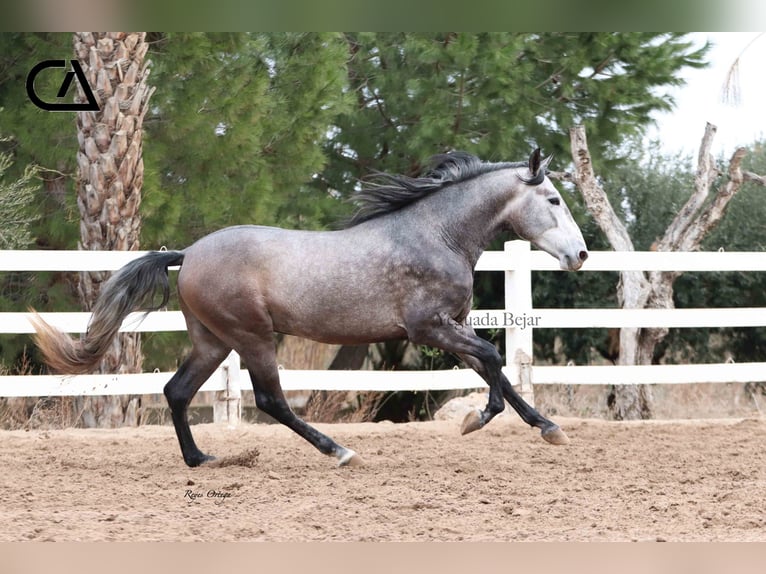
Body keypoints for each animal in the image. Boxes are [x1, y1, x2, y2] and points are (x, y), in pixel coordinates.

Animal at [30, 148, 588, 468]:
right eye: (555, 200)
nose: (580, 255)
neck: (435, 235)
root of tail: (187, 253)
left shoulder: (452, 326)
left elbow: (497, 370)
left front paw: (550, 429)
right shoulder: (427, 328)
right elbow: (493, 362)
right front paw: (477, 419)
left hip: (213, 341)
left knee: (177, 391)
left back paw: (201, 459)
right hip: (253, 337)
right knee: (270, 400)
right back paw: (339, 451)